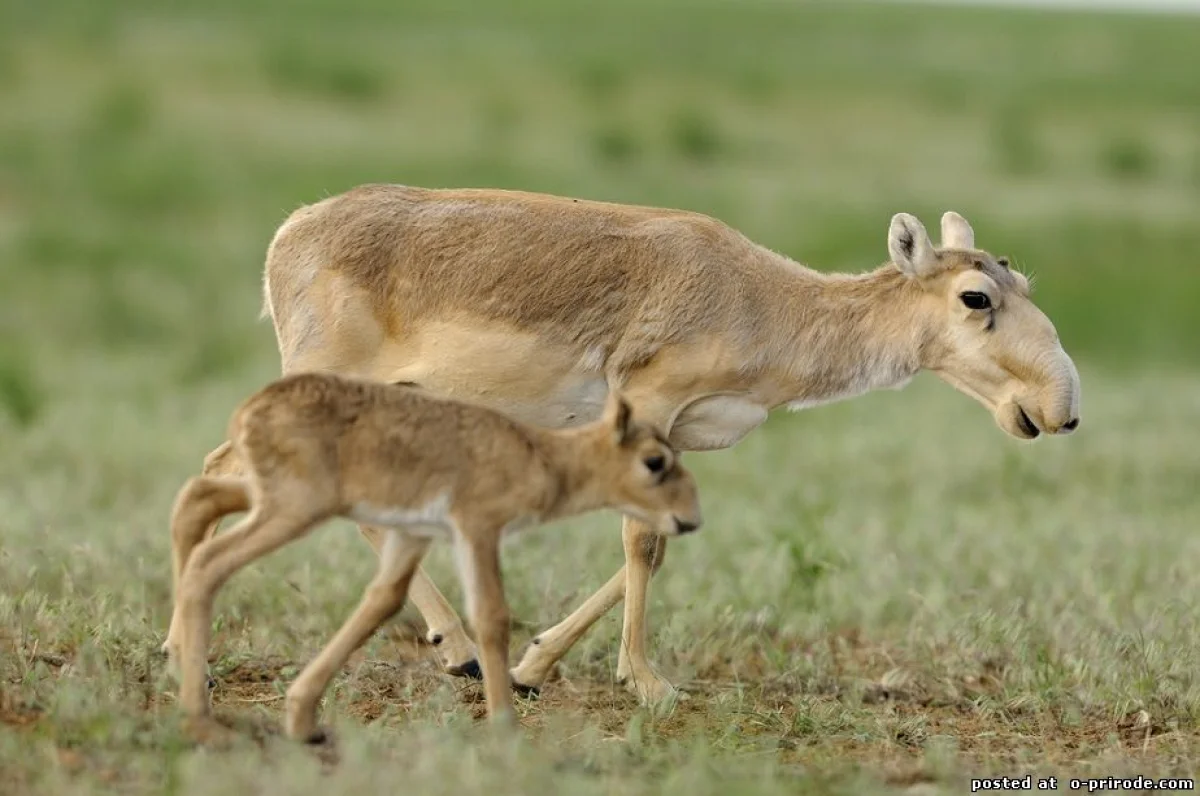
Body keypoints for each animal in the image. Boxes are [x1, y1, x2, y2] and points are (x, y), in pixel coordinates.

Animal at [182, 184, 1084, 705]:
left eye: (1021, 280)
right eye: (976, 296)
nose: (1061, 407)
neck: (763, 300)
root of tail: (288, 233)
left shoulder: (676, 436)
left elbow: (659, 544)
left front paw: (533, 665)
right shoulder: (646, 407)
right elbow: (642, 543)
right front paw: (646, 682)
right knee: (234, 475)